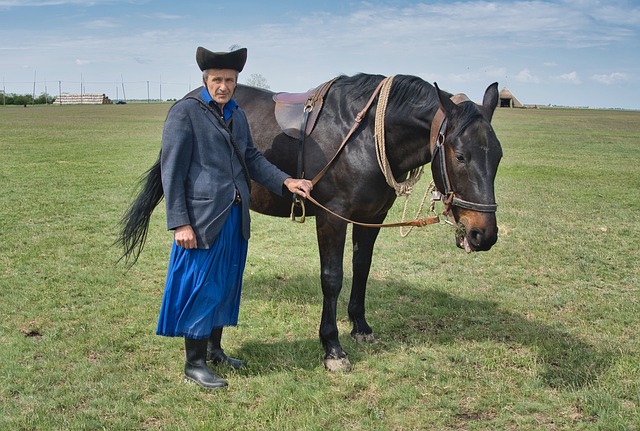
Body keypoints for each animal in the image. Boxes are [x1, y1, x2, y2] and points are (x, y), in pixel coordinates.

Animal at [117, 73, 502, 372]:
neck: (364, 136)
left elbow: (361, 267)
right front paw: (332, 347)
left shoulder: (371, 217)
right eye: (460, 156)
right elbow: (332, 278)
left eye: (498, 156)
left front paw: (360, 325)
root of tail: (189, 98)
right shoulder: (332, 216)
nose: (483, 234)